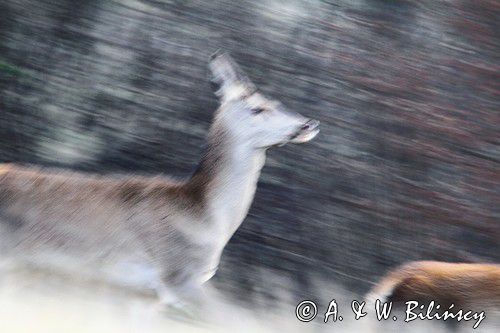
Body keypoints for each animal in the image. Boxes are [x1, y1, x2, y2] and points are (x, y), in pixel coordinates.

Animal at [0, 52, 320, 306]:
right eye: (258, 108)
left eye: (277, 101)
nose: (310, 123)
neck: (205, 218)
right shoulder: (176, 276)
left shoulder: (147, 293)